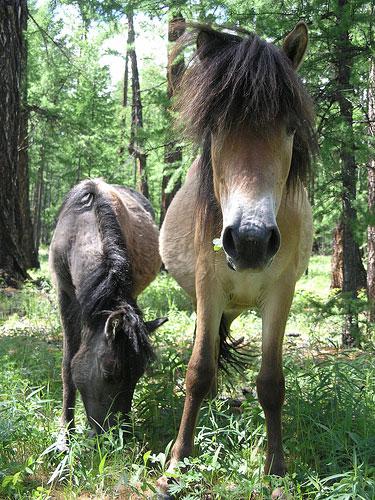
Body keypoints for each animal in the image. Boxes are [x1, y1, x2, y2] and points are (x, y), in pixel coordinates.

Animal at [50, 179, 167, 434]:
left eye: (139, 374)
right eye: (109, 372)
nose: (116, 434)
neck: (81, 228)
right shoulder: (65, 295)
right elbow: (67, 364)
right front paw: (65, 432)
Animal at [159, 21, 318, 490]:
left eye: (289, 126)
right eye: (215, 125)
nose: (249, 240)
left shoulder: (281, 295)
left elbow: (271, 383)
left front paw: (276, 468)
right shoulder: (207, 287)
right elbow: (197, 372)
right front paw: (177, 463)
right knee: (208, 356)